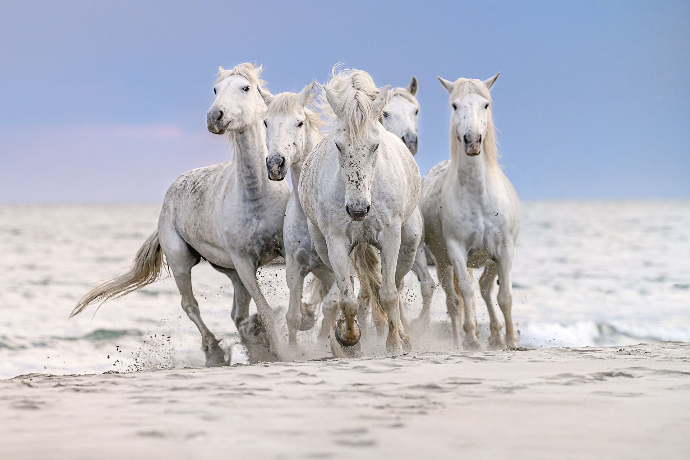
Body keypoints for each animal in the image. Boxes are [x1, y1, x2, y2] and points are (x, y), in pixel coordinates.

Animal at [71, 63, 290, 365]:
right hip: (182, 261)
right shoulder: (245, 262)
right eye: (215, 89)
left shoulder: (282, 251)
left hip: (230, 271)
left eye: (245, 87)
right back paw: (216, 353)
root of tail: (172, 190)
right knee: (191, 305)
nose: (214, 117)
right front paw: (285, 351)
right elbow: (267, 310)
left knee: (238, 315)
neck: (256, 196)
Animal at [258, 83, 339, 345]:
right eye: (266, 122)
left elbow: (332, 308)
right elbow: (293, 317)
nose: (275, 164)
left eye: (299, 122)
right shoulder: (295, 266)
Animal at [299, 68, 423, 355]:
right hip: (327, 247)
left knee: (393, 285)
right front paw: (348, 339)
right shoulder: (336, 242)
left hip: (407, 246)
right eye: (338, 145)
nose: (357, 210)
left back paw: (403, 335)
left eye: (375, 146)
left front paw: (394, 344)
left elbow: (388, 294)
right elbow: (348, 300)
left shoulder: (390, 237)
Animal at [420, 72, 521, 349]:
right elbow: (465, 292)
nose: (473, 141)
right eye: (455, 106)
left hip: (490, 260)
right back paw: (459, 339)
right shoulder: (456, 249)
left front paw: (510, 339)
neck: (479, 197)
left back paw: (496, 335)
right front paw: (471, 338)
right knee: (454, 299)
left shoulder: (504, 249)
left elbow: (504, 295)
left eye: (485, 105)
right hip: (443, 262)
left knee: (486, 289)